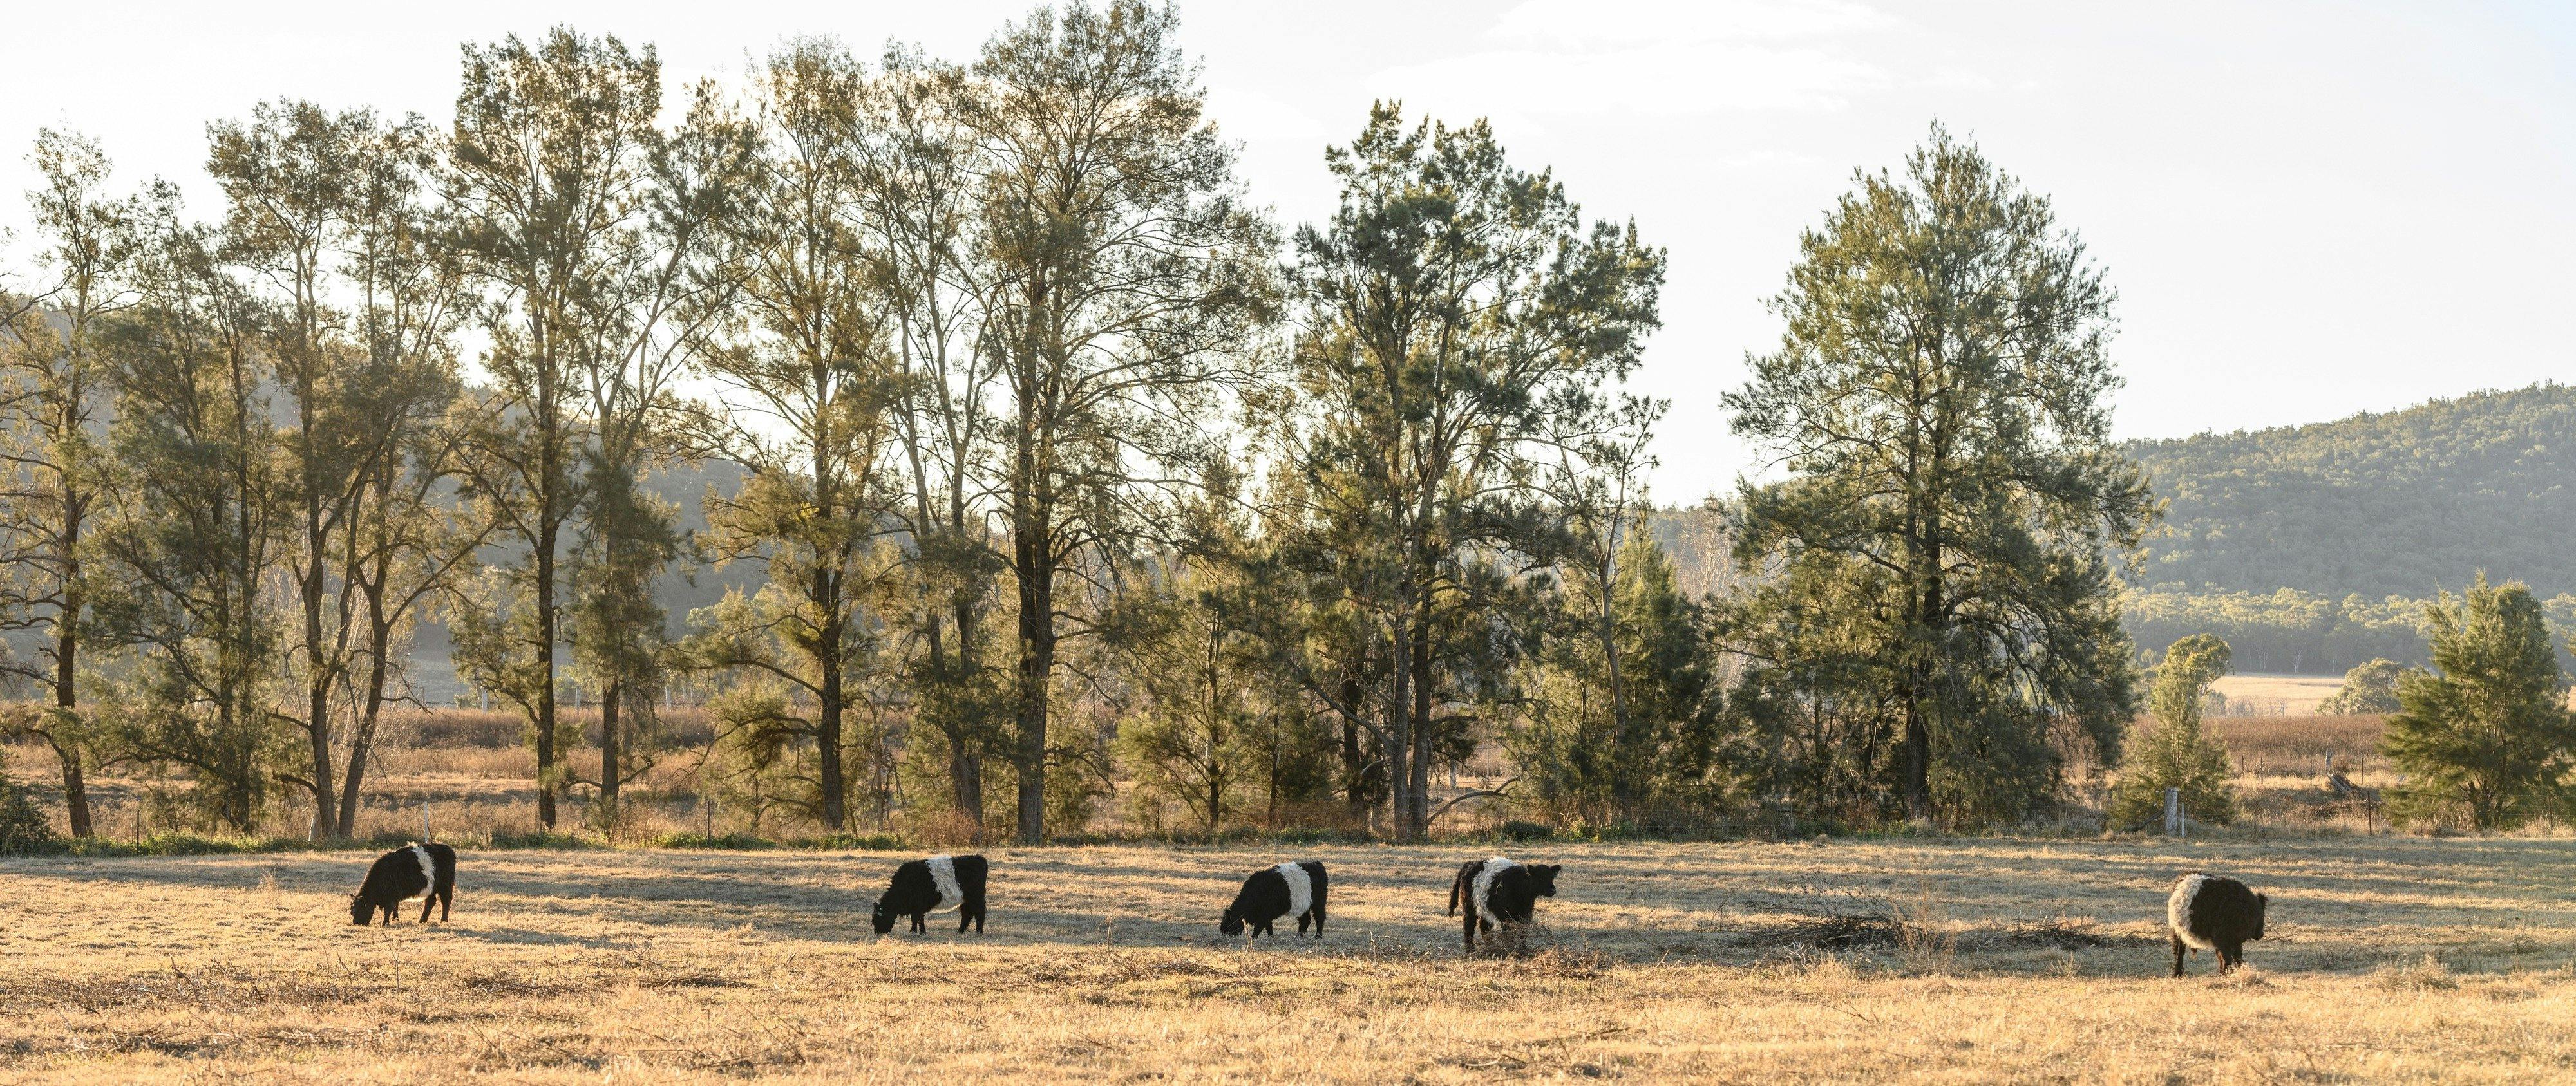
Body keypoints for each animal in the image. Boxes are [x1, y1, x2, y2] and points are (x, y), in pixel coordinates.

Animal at [349, 842, 456, 926]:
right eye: (352, 912)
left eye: (360, 910)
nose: (357, 924)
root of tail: (447, 848)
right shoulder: (395, 895)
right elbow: (395, 907)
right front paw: (395, 919)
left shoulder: (391, 896)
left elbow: (388, 909)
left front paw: (385, 923)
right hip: (432, 887)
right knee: (431, 902)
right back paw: (422, 920)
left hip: (445, 886)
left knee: (446, 902)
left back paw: (443, 921)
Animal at [871, 854, 988, 935]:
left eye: (878, 919)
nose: (878, 933)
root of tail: (979, 858)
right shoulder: (919, 906)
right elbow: (920, 919)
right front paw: (922, 932)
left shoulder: (918, 906)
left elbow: (915, 919)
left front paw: (913, 931)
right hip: (965, 900)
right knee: (967, 914)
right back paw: (960, 931)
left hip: (977, 898)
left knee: (980, 913)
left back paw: (979, 932)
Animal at [1220, 861, 1329, 941]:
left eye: (1230, 922)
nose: (1223, 932)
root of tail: (1317, 864)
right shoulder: (1265, 914)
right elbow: (1268, 926)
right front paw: (1271, 937)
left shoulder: (1266, 913)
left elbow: (1260, 925)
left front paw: (1254, 937)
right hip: (1303, 904)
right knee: (1305, 920)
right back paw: (1299, 935)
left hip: (1319, 903)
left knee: (1320, 918)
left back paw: (1318, 936)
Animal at [1447, 856, 1561, 952]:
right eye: (1540, 878)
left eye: (1551, 877)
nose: (1553, 890)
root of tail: (1468, 864)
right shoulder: (1506, 917)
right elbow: (1509, 934)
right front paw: (1509, 949)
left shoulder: (1526, 915)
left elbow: (1523, 933)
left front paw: (1524, 950)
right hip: (1469, 906)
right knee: (1469, 927)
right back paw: (1470, 950)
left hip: (1485, 907)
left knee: (1484, 927)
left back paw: (1490, 947)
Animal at [2167, 872, 2267, 976]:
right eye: (2262, 916)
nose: (2261, 934)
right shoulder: (2223, 939)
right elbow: (2227, 958)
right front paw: (2226, 974)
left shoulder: (2233, 941)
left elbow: (2234, 958)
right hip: (2177, 931)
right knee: (2180, 951)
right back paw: (2177, 973)